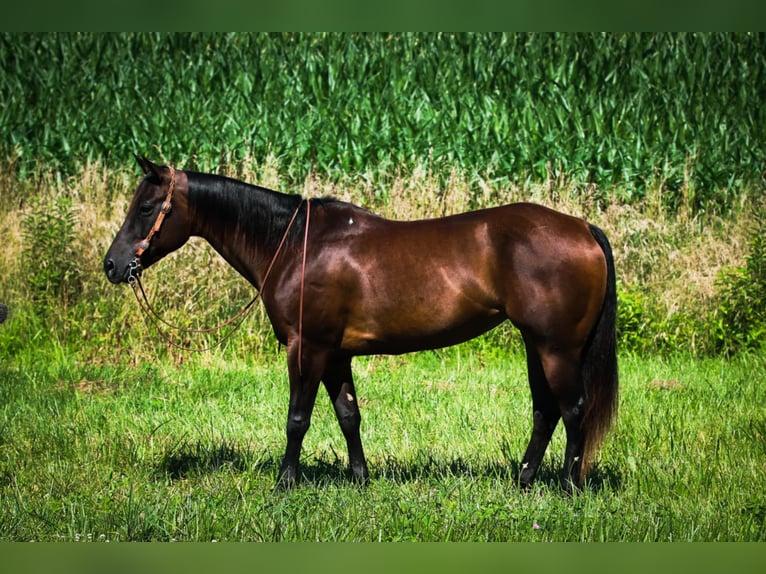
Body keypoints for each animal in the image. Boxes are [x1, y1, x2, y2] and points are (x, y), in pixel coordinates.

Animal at [104, 156, 618, 492]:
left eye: (146, 208)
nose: (112, 266)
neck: (295, 243)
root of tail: (581, 228)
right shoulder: (335, 354)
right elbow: (348, 415)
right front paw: (360, 479)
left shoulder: (307, 347)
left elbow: (297, 418)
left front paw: (284, 483)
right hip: (536, 345)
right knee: (545, 412)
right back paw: (524, 480)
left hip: (556, 348)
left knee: (573, 410)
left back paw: (569, 487)